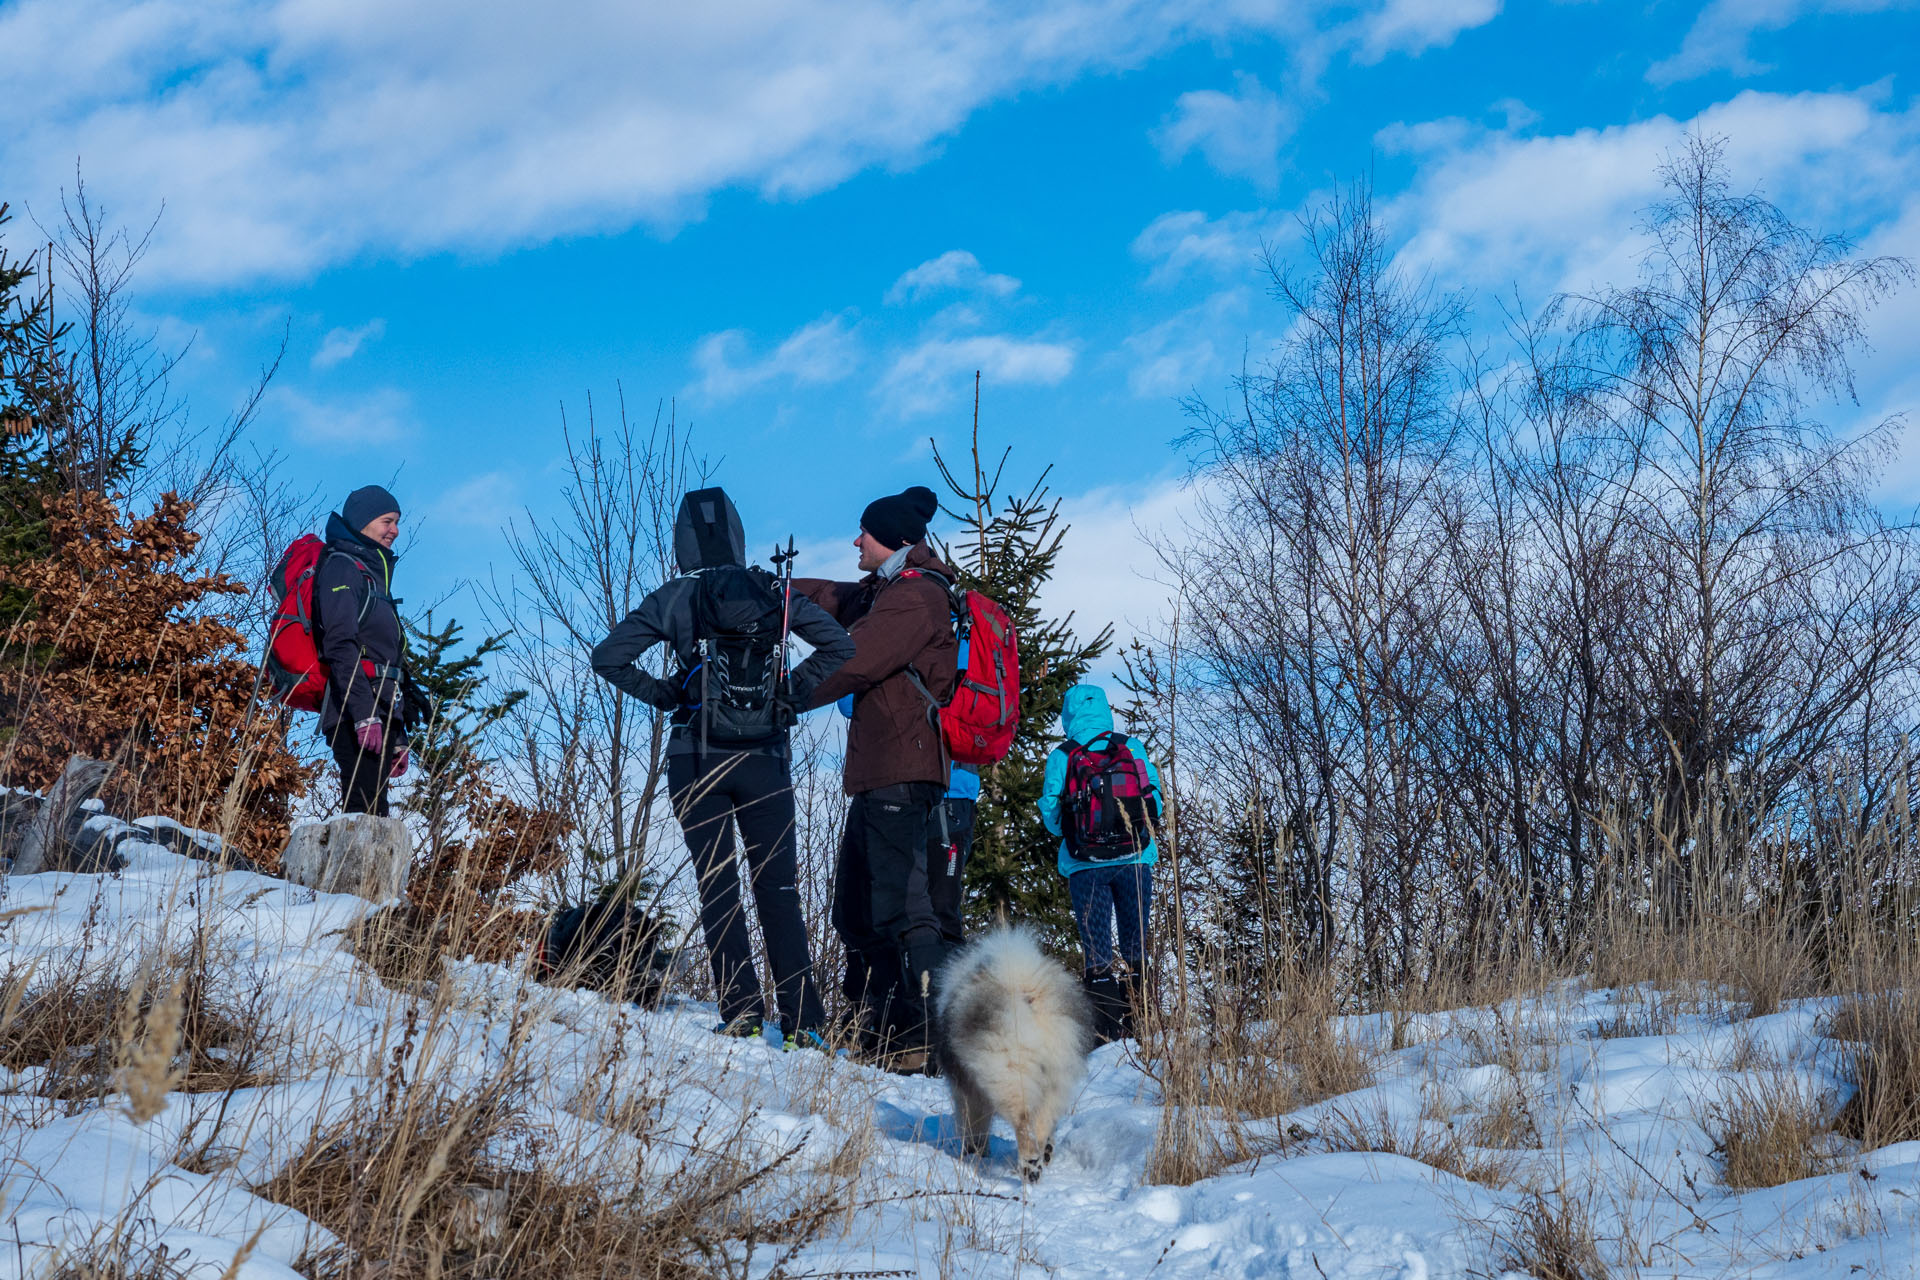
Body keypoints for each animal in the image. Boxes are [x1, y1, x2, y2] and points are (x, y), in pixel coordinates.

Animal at [933, 924, 1090, 1189]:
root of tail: (1026, 991)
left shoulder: (967, 1093)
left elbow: (973, 1125)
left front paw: (973, 1153)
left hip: (1010, 1074)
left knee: (1023, 1124)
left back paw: (1030, 1168)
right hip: (1054, 1077)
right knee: (1041, 1126)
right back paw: (1042, 1158)